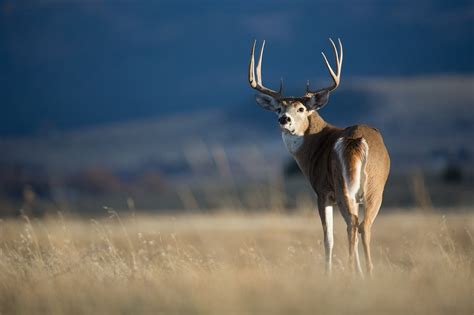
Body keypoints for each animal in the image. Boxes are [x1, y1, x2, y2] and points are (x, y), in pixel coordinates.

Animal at [248, 39, 388, 276]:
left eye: (301, 108)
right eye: (278, 108)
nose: (284, 119)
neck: (316, 143)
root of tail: (356, 141)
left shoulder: (322, 192)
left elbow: (328, 238)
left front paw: (328, 274)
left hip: (345, 188)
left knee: (353, 224)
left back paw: (353, 272)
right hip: (371, 189)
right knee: (361, 225)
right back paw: (367, 272)